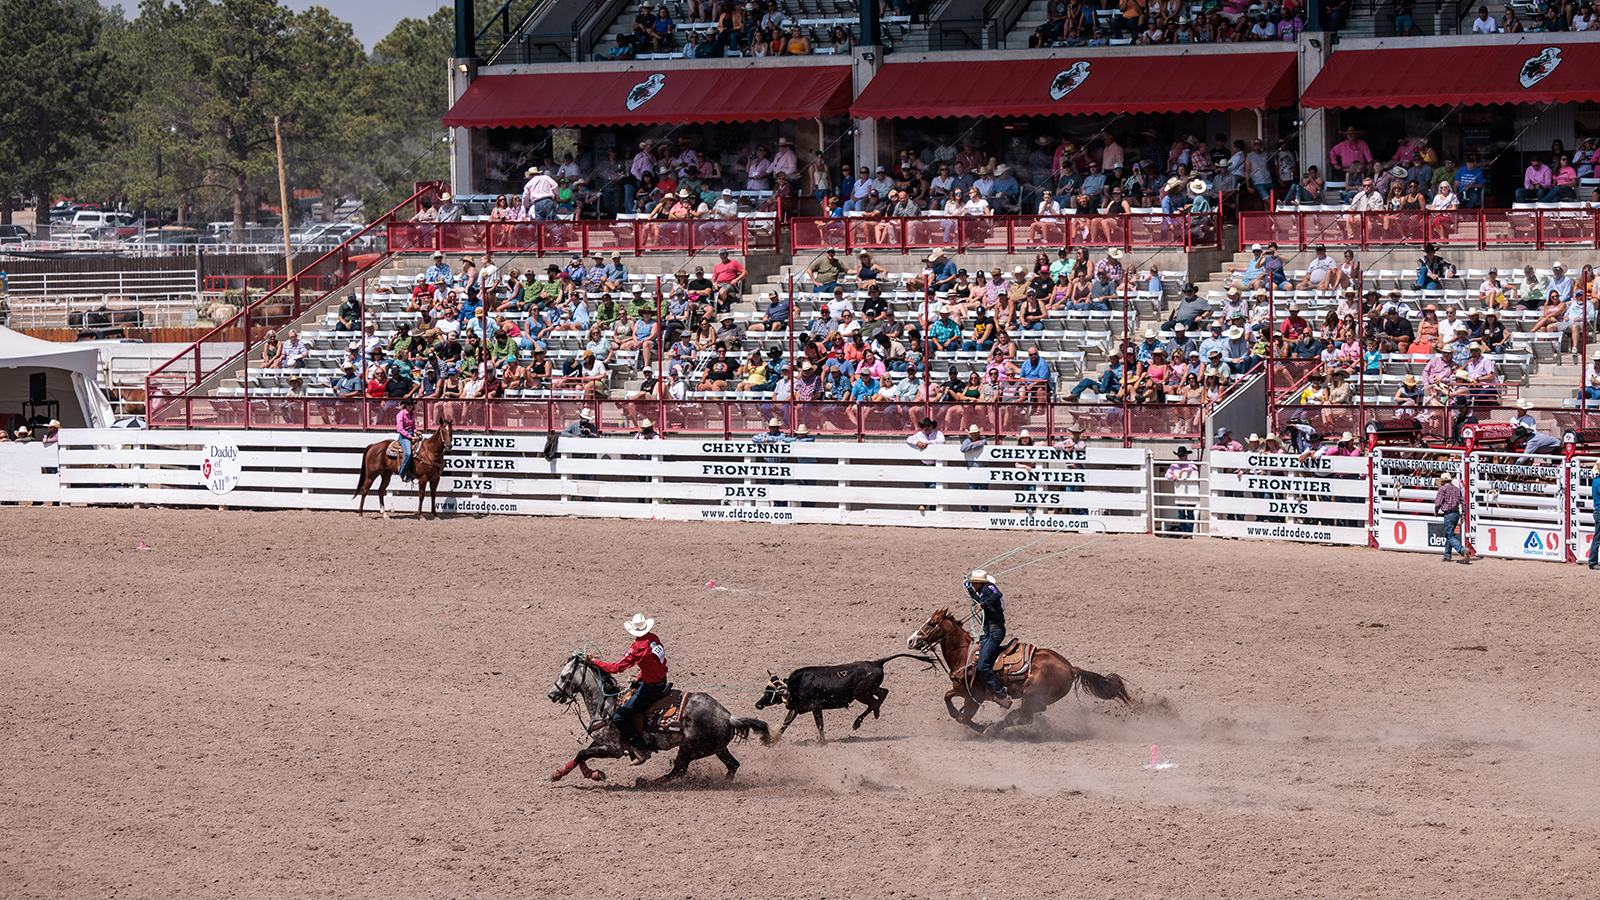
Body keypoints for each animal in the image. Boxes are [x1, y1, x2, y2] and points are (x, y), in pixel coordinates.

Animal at [547, 646, 777, 781]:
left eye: (564, 676)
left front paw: (588, 774)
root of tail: (728, 716)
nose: (551, 695)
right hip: (716, 748)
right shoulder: (602, 742)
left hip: (688, 749)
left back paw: (650, 782)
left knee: (678, 771)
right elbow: (581, 754)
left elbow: (582, 753)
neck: (607, 704)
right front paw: (565, 773)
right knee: (732, 765)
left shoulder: (613, 748)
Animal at [908, 605, 1132, 733]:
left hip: (1031, 692)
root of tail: (1070, 667)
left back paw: (996, 725)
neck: (965, 655)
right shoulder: (962, 691)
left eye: (932, 624)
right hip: (1037, 697)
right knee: (1031, 712)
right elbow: (949, 699)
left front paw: (980, 726)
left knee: (1026, 718)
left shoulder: (974, 695)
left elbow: (963, 716)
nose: (910, 640)